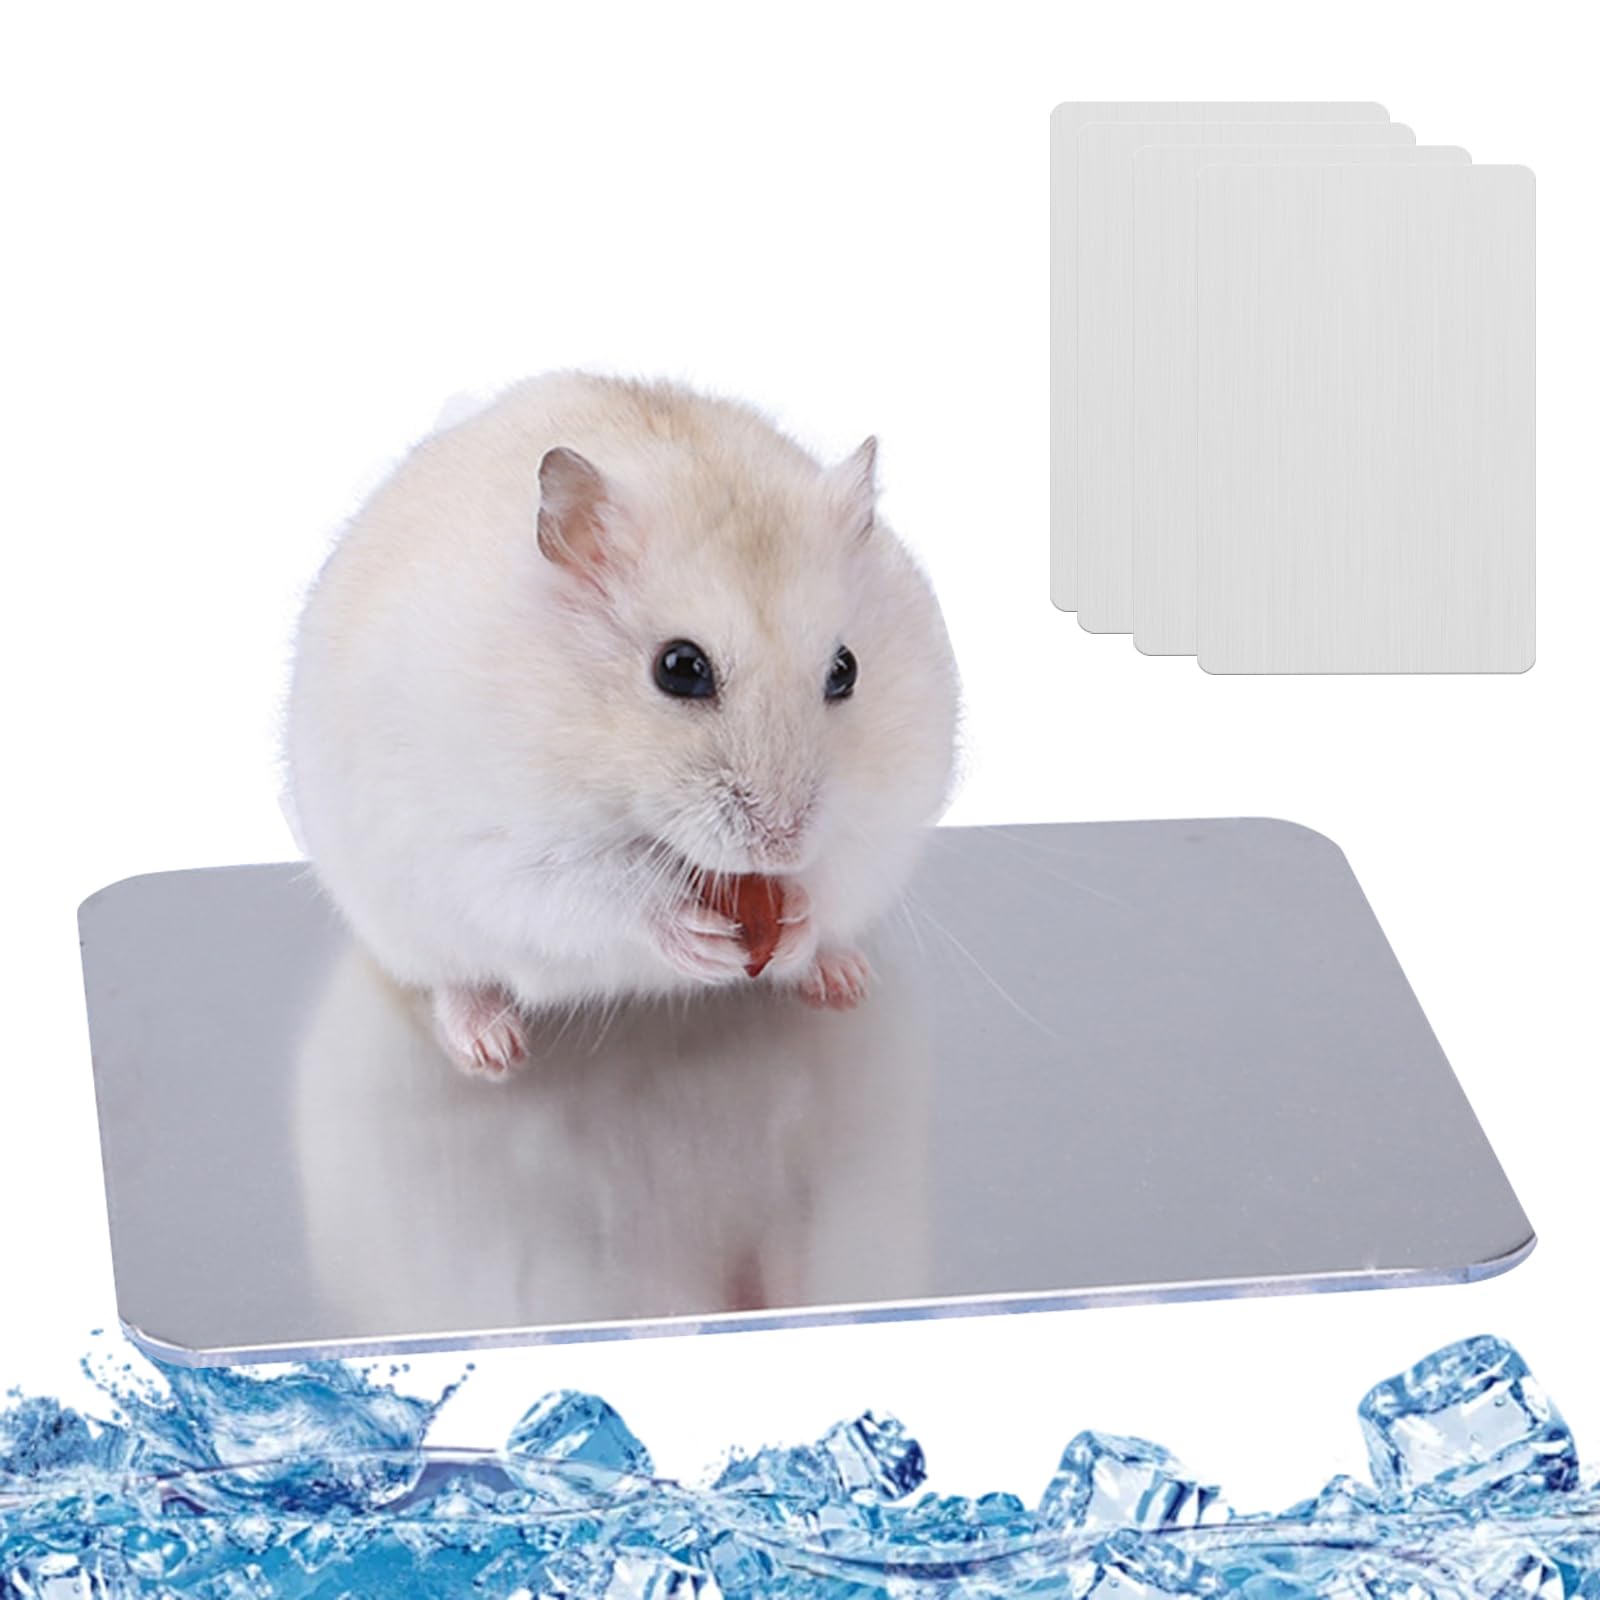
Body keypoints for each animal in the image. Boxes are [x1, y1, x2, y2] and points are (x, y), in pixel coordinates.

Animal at [284, 371, 961, 1076]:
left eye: (845, 669)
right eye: (680, 668)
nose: (783, 844)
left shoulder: (882, 821)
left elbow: (832, 875)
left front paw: (799, 918)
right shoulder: (497, 847)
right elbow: (597, 890)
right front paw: (698, 935)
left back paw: (842, 979)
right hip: (409, 926)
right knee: (454, 980)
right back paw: (491, 1047)